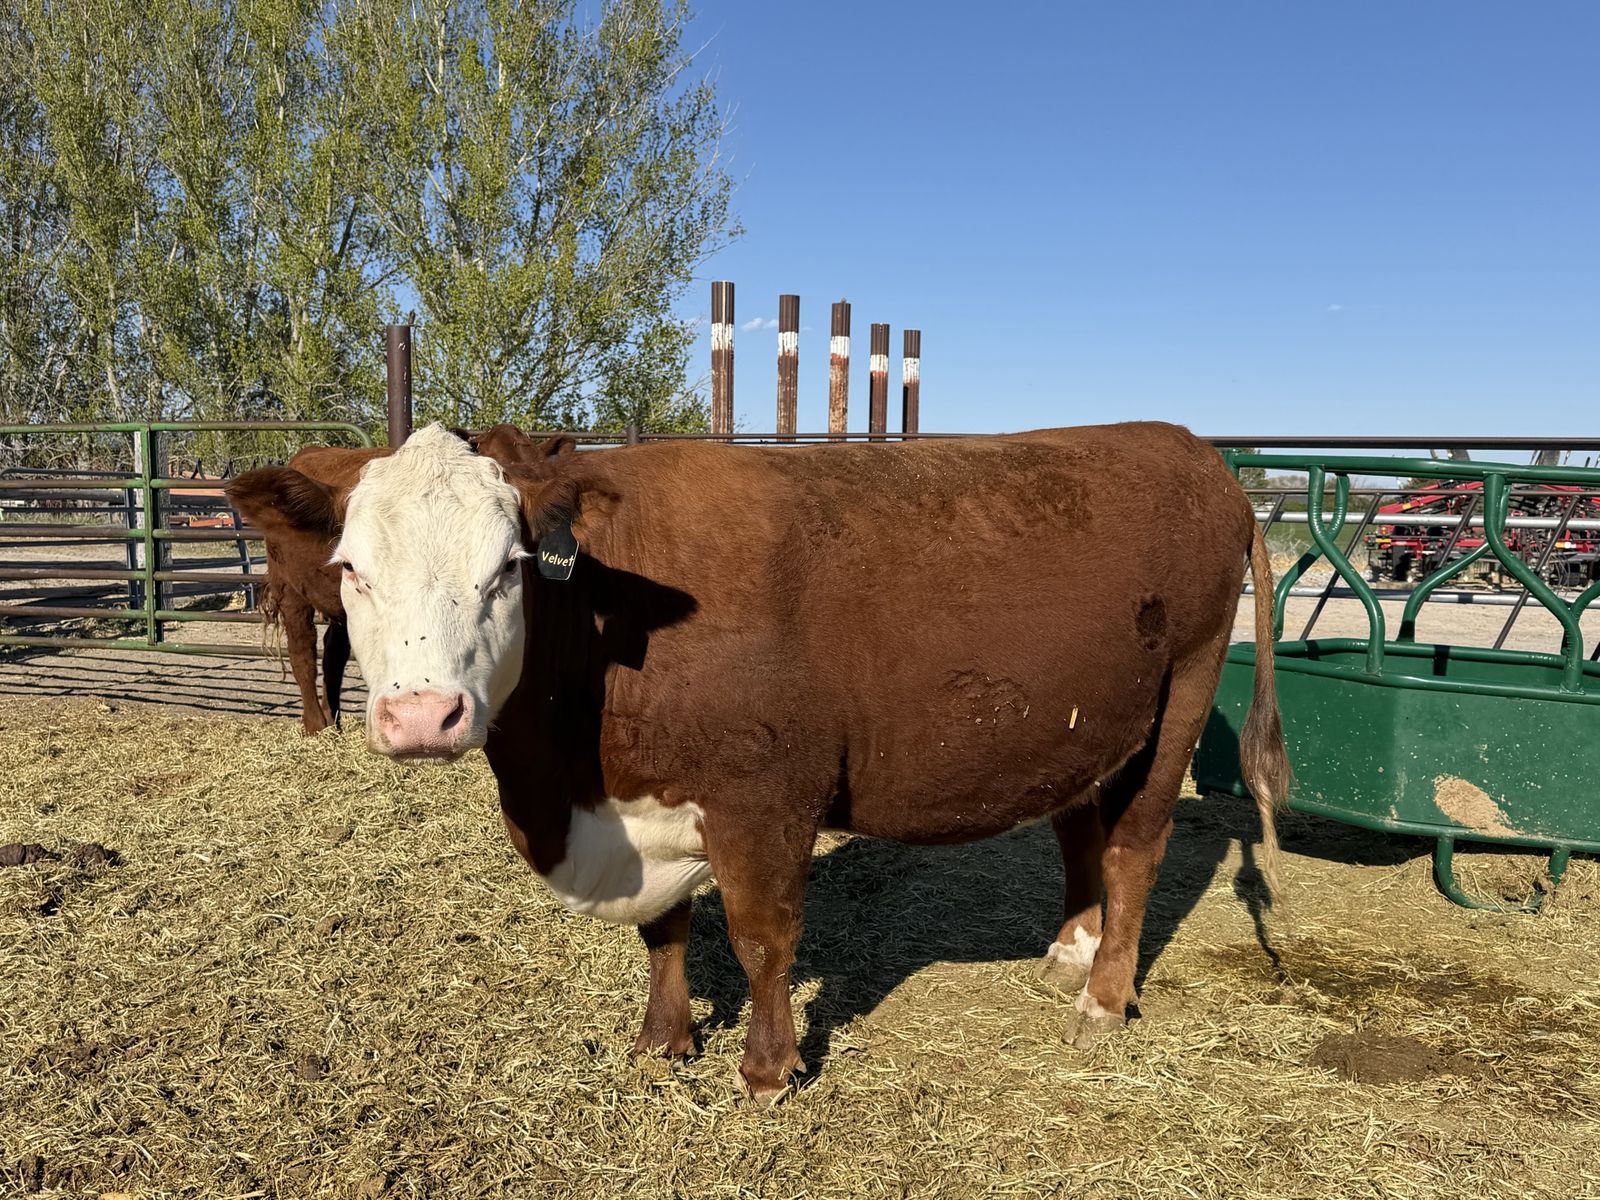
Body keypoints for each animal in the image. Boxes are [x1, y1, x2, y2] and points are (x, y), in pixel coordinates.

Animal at [226, 421, 1289, 1102]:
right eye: (353, 569)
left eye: (509, 569)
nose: (422, 715)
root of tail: (1193, 448)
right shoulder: (646, 809)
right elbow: (664, 933)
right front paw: (662, 1042)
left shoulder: (766, 797)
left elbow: (762, 938)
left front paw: (767, 1071)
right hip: (1083, 723)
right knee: (1079, 822)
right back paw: (1069, 949)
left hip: (1182, 696)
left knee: (1137, 846)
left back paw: (1104, 998)